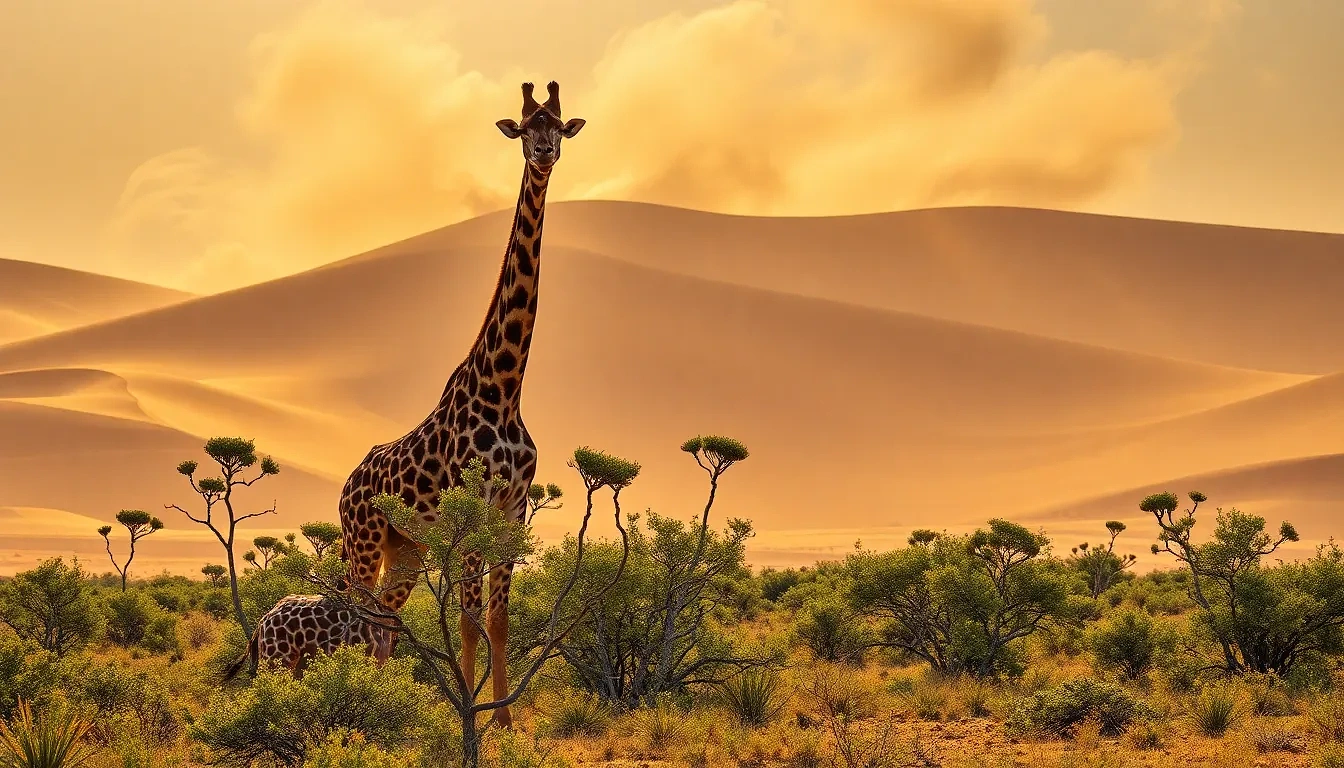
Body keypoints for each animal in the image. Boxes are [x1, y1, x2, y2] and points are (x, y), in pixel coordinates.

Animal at [337, 81, 584, 727]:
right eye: (525, 129)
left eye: (558, 128)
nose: (545, 153)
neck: (505, 387)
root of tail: (346, 485)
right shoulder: (473, 513)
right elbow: (471, 621)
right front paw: (471, 713)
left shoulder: (511, 511)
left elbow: (497, 620)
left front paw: (503, 720)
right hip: (363, 539)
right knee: (356, 614)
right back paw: (351, 700)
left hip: (408, 549)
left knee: (384, 620)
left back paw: (378, 704)